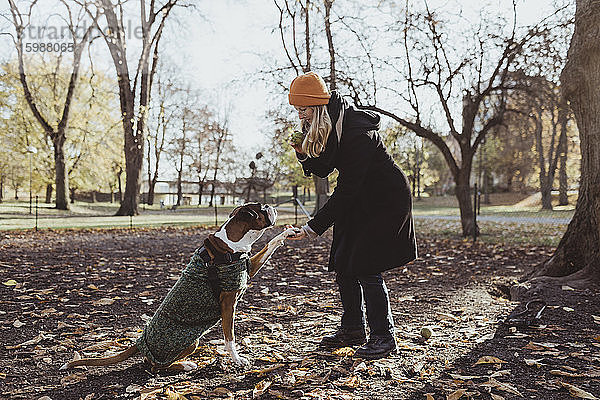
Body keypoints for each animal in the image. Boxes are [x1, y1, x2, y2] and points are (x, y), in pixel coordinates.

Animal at [59, 203, 298, 372]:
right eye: (261, 209)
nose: (272, 206)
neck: (230, 245)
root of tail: (141, 341)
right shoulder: (228, 304)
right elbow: (230, 338)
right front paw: (237, 359)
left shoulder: (247, 268)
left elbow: (269, 245)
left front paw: (287, 233)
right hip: (189, 342)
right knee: (154, 366)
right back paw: (185, 365)